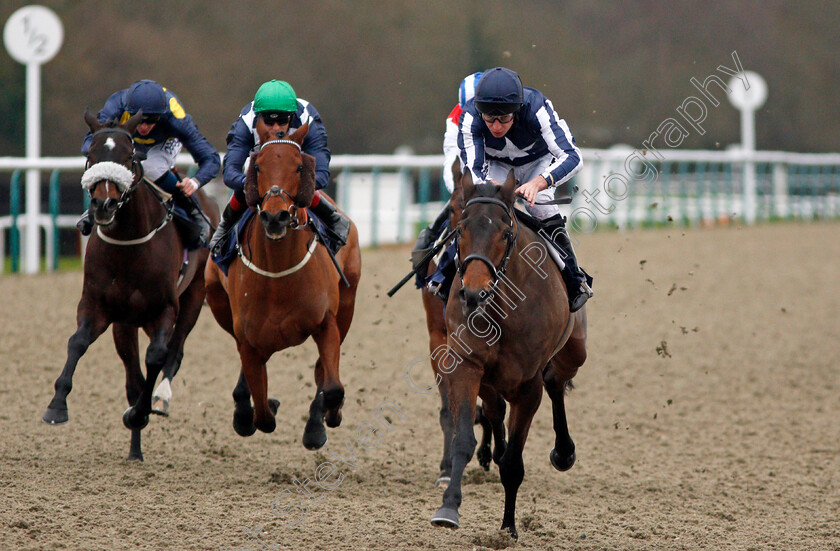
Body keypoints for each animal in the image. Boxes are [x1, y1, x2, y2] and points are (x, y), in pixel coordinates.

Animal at [42, 110, 220, 464]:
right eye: (90, 155)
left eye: (129, 157)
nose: (104, 205)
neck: (128, 244)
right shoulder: (98, 307)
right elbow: (77, 343)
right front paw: (56, 406)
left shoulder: (164, 309)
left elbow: (157, 357)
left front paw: (140, 412)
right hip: (126, 325)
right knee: (133, 377)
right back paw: (135, 450)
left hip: (193, 298)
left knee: (174, 351)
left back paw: (159, 399)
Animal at [206, 121, 360, 448]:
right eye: (258, 166)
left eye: (300, 166)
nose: (275, 216)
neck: (278, 274)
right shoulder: (248, 338)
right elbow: (263, 414)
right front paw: (253, 411)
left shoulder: (326, 323)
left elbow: (332, 387)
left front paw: (323, 421)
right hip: (216, 300)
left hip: (348, 304)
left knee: (322, 371)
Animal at [430, 171, 588, 540]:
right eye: (460, 230)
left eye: (504, 233)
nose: (474, 294)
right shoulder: (467, 366)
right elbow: (463, 439)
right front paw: (448, 508)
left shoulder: (528, 386)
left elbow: (515, 464)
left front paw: (508, 528)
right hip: (490, 379)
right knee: (495, 409)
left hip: (575, 350)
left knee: (555, 381)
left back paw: (564, 452)